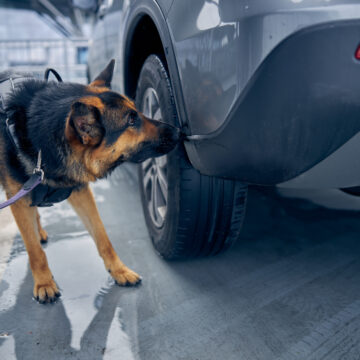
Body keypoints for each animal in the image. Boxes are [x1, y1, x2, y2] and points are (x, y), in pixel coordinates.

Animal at [0, 60, 180, 302]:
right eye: (131, 120)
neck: (41, 145)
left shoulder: (80, 193)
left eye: (138, 112)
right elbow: (34, 251)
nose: (178, 131)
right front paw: (44, 282)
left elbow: (103, 237)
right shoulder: (18, 200)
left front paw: (119, 271)